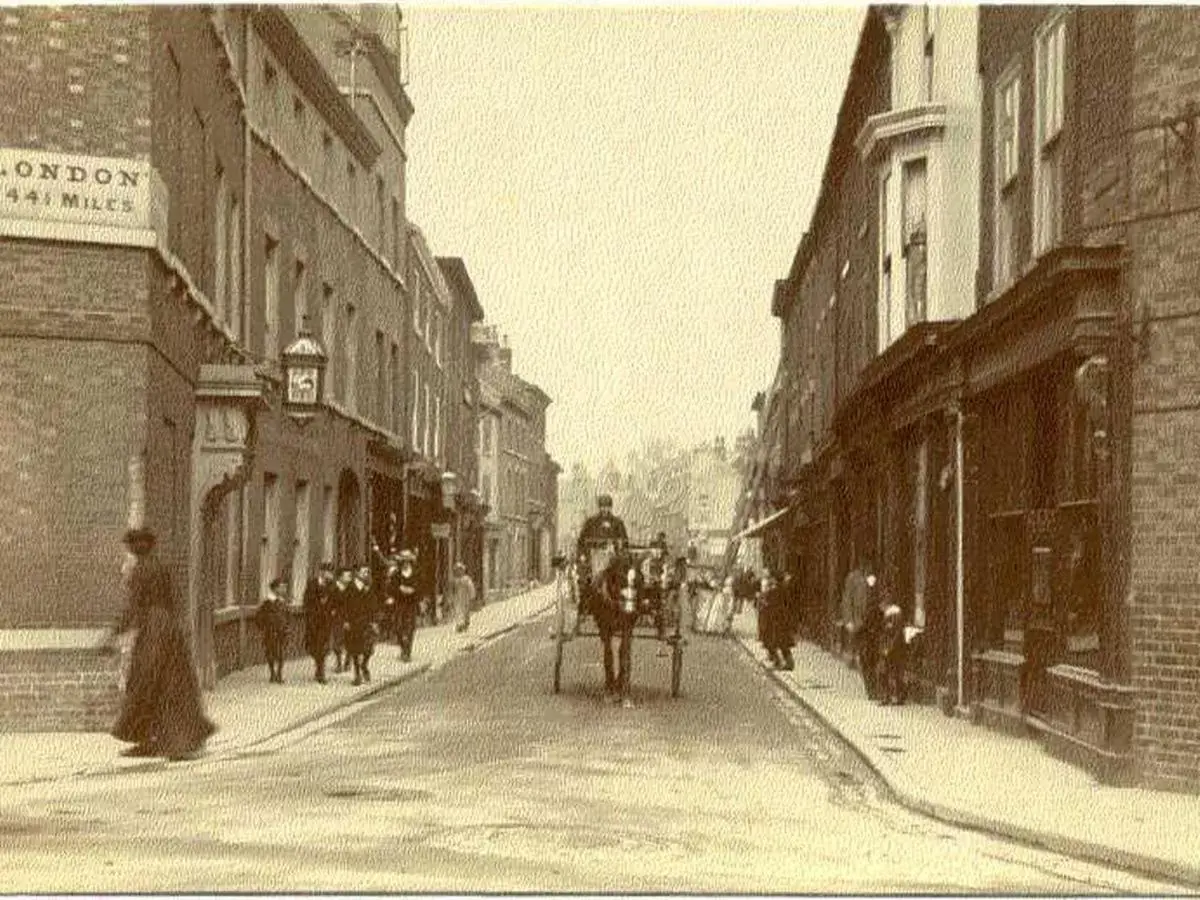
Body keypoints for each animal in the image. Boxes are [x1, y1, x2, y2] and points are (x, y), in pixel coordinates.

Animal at [552, 542, 686, 705]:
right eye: (620, 579)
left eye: (637, 581)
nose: (629, 609)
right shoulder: (605, 626)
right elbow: (608, 654)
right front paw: (610, 691)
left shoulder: (628, 626)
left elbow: (624, 654)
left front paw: (624, 693)